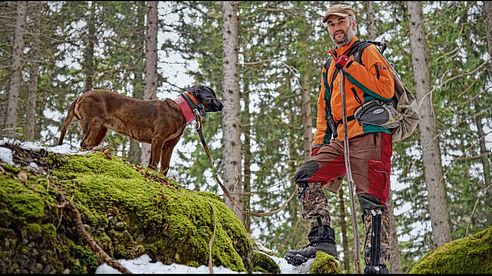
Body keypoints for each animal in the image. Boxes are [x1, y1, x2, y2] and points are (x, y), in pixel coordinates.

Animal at [57, 84, 223, 175]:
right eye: (213, 96)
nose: (222, 105)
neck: (182, 109)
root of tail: (80, 97)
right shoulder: (158, 139)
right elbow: (154, 163)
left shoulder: (169, 146)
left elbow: (165, 167)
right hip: (95, 124)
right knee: (84, 144)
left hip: (101, 129)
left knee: (86, 144)